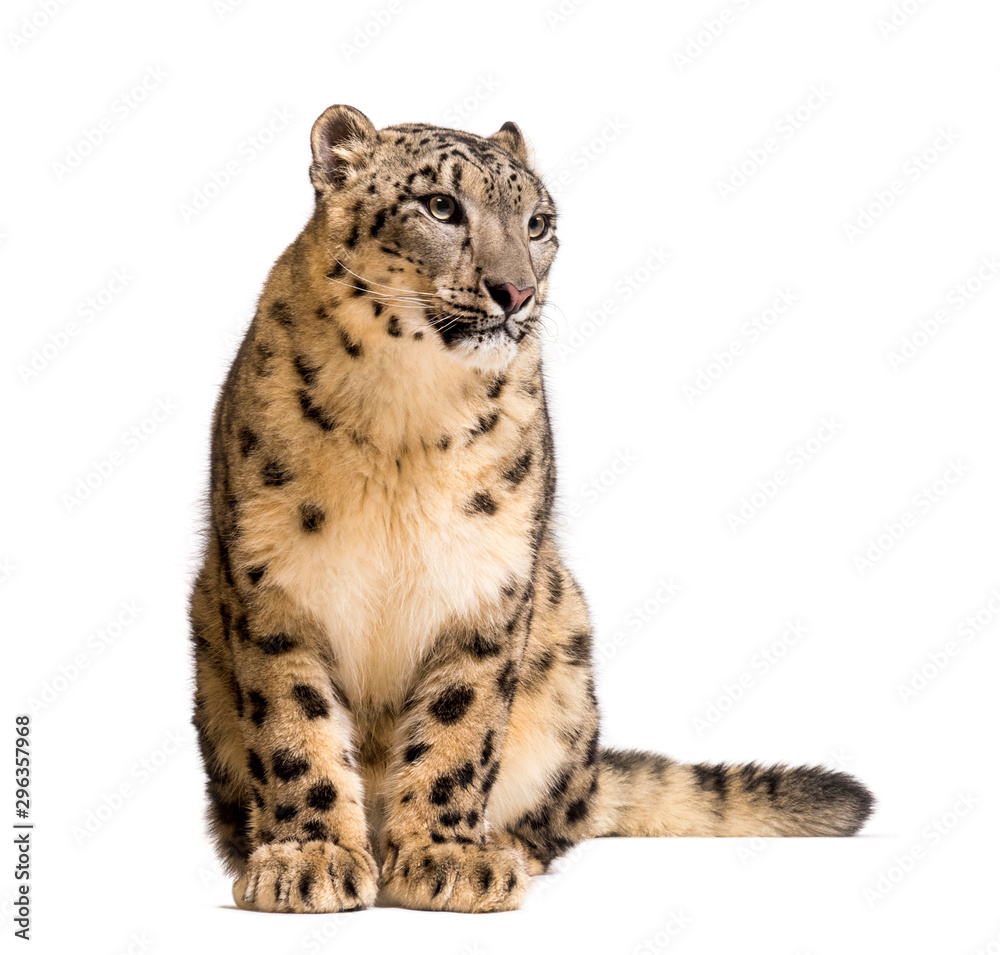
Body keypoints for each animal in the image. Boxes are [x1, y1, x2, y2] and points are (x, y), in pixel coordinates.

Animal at [189, 104, 875, 914]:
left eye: (539, 223)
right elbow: (295, 726)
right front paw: (309, 859)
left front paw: (448, 858)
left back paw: (501, 846)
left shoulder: (491, 579)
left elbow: (460, 726)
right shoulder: (275, 583)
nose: (513, 291)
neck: (402, 412)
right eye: (440, 206)